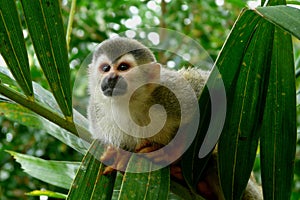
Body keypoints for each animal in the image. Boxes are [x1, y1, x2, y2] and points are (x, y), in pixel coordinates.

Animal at [86, 36, 260, 199]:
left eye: (123, 67)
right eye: (105, 68)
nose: (110, 78)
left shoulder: (168, 92)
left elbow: (212, 93)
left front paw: (170, 153)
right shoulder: (96, 113)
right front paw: (120, 156)